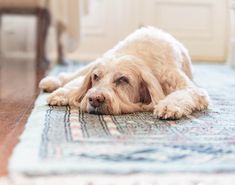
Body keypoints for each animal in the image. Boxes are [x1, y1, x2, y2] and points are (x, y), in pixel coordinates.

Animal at [39, 26, 209, 119]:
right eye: (96, 77)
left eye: (123, 80)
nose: (94, 99)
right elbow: (76, 83)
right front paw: (62, 94)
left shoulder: (189, 88)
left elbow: (183, 94)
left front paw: (169, 106)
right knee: (73, 75)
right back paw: (51, 82)